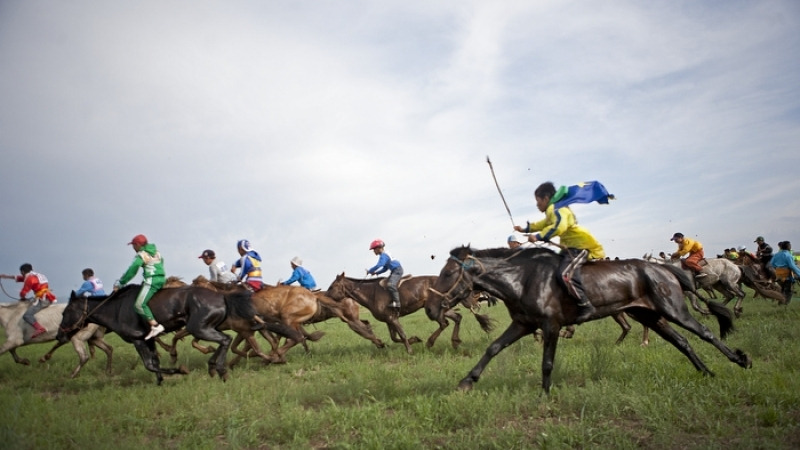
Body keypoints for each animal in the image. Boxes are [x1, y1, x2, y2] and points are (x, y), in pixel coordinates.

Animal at [57, 284, 276, 386]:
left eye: (65, 312)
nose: (60, 336)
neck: (117, 308)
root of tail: (222, 295)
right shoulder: (149, 340)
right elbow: (154, 362)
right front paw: (160, 381)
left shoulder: (138, 339)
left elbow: (149, 364)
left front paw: (180, 370)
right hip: (209, 326)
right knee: (224, 340)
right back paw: (213, 366)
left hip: (198, 328)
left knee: (225, 340)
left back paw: (220, 369)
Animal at [428, 246, 752, 394]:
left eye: (447, 273)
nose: (431, 310)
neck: (523, 279)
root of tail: (666, 269)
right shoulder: (523, 324)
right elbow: (493, 348)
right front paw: (466, 381)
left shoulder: (550, 325)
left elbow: (547, 362)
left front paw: (545, 393)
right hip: (649, 315)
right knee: (682, 341)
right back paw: (706, 371)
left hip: (672, 309)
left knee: (705, 331)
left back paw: (740, 360)